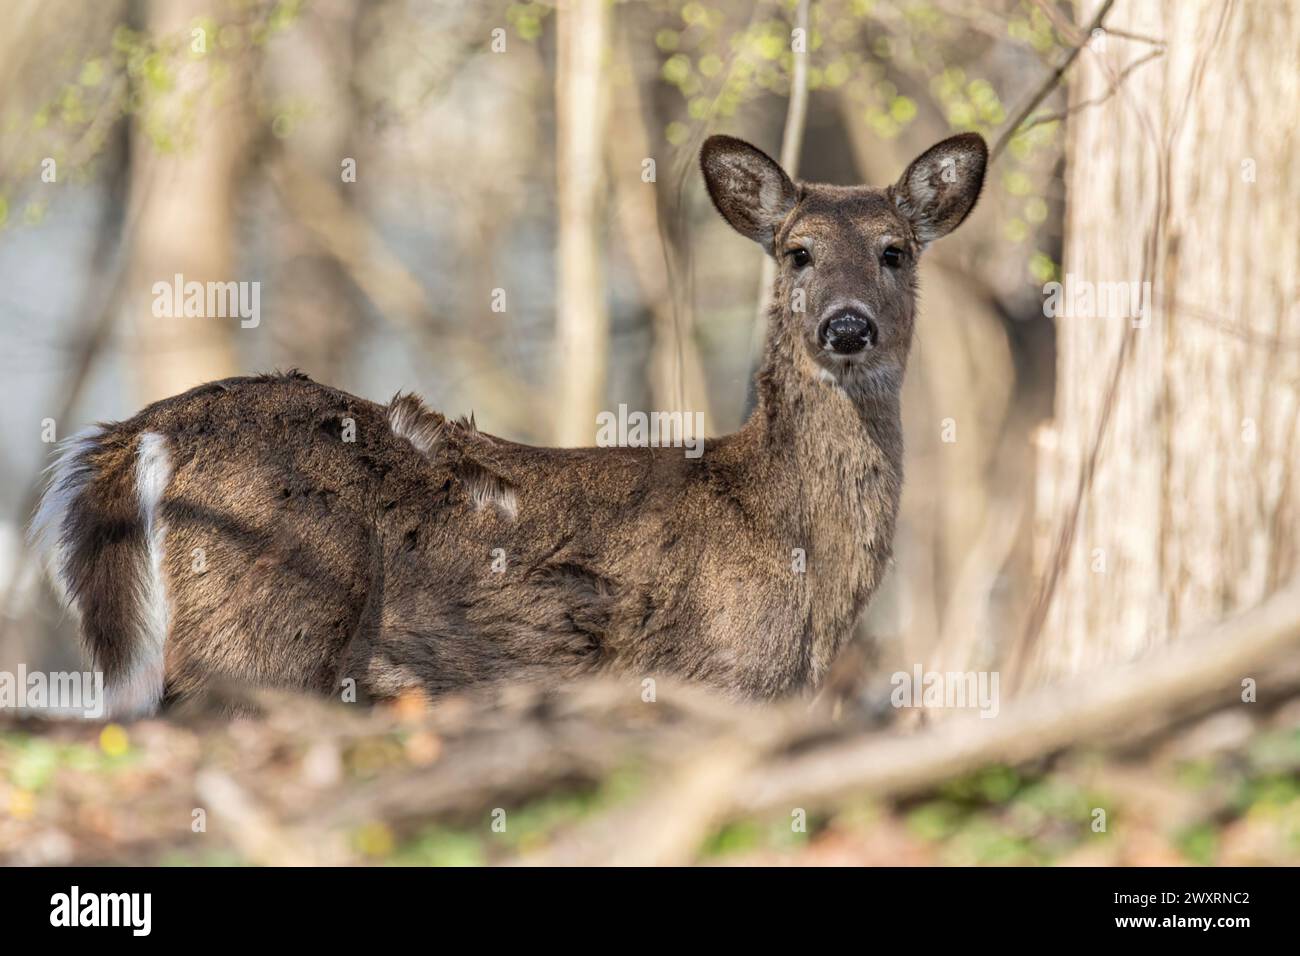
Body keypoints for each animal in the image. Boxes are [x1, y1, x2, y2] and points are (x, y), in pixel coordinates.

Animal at [30, 134, 982, 717]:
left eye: (896, 250)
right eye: (797, 252)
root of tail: (139, 435)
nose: (847, 327)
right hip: (263, 625)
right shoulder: (719, 673)